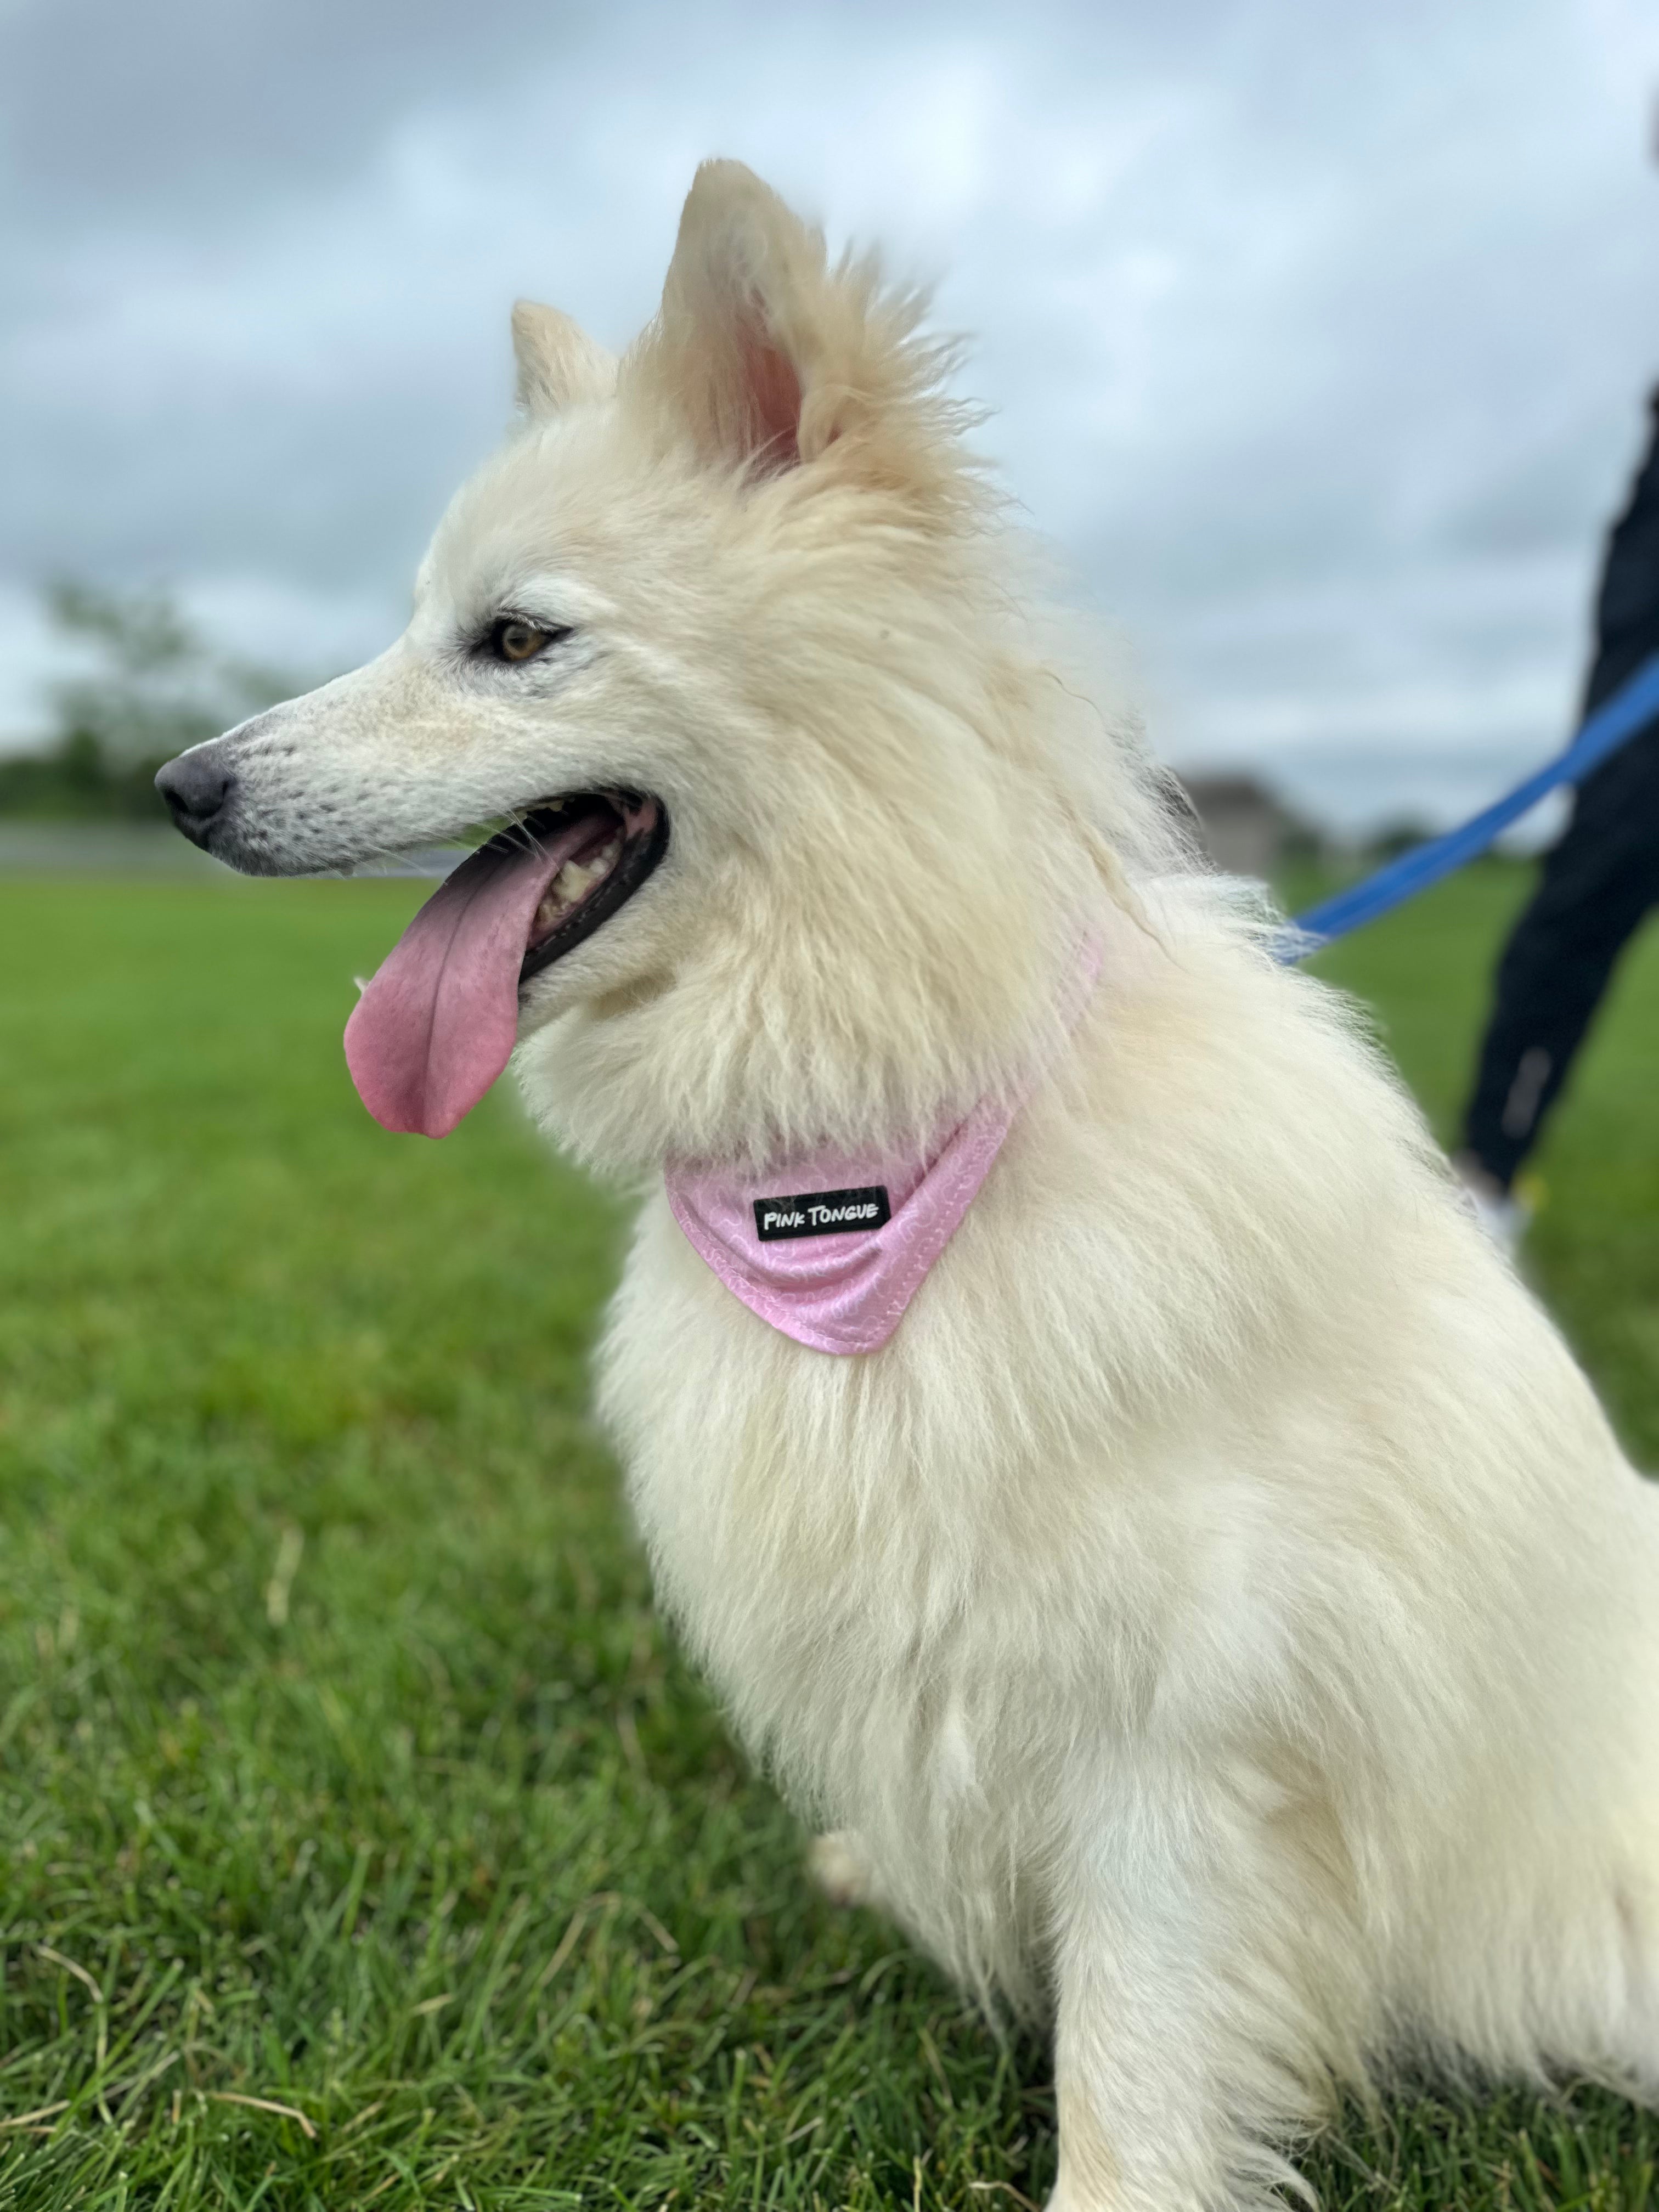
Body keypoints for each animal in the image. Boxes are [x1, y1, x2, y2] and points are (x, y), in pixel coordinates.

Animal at [156, 160, 1659, 2212]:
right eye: (417, 624)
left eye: (518, 640)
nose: (176, 788)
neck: (876, 1125)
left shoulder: (1174, 1767)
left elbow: (1132, 2080)